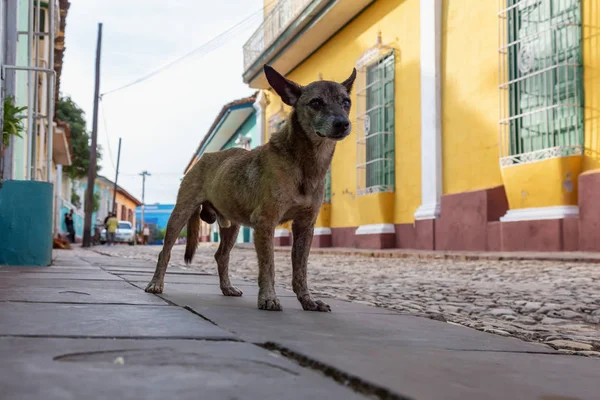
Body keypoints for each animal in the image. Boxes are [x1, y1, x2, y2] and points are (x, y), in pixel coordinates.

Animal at [144, 64, 356, 312]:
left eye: (346, 102)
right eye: (316, 103)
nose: (342, 123)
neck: (305, 162)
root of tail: (204, 157)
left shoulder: (305, 227)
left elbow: (300, 270)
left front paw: (308, 300)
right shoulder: (265, 224)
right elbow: (268, 266)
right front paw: (268, 298)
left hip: (232, 227)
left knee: (221, 256)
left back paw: (227, 288)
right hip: (180, 214)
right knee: (165, 251)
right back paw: (155, 283)